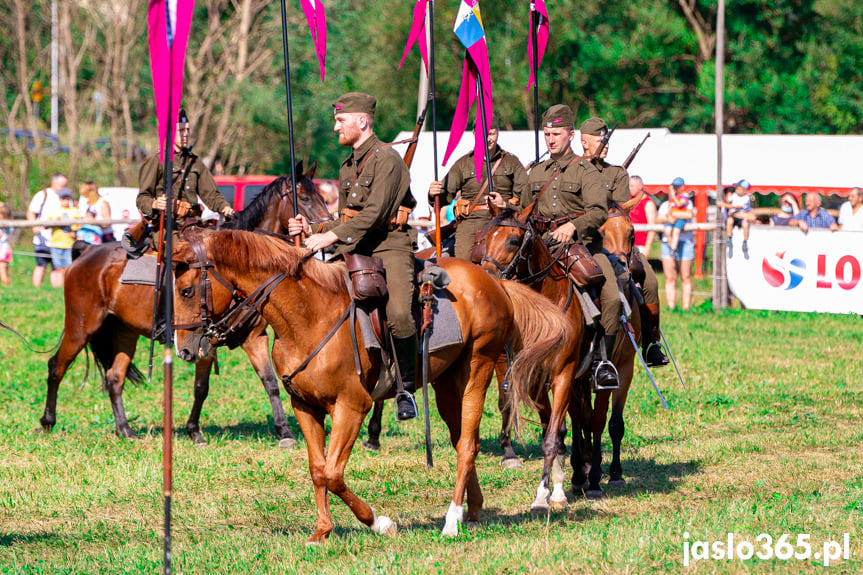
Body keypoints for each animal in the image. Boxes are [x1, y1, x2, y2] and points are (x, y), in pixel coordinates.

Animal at [37, 166, 330, 446]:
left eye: (322, 197)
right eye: (304, 198)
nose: (324, 229)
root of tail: (87, 251)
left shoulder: (254, 337)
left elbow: (270, 382)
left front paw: (284, 431)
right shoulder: (204, 341)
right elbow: (201, 386)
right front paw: (194, 431)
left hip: (124, 333)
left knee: (114, 377)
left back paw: (125, 430)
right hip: (81, 326)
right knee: (56, 366)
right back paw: (47, 422)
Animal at [170, 231, 576, 544]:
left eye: (187, 291)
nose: (184, 349)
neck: (308, 315)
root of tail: (494, 282)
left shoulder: (352, 407)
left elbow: (333, 474)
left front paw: (378, 522)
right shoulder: (305, 408)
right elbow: (318, 469)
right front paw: (322, 531)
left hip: (478, 368)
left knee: (466, 446)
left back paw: (451, 520)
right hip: (447, 385)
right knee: (465, 439)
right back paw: (471, 512)